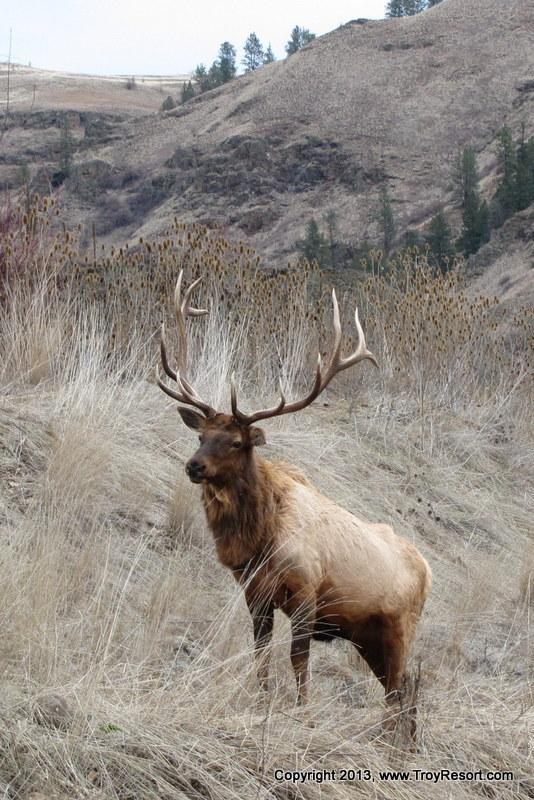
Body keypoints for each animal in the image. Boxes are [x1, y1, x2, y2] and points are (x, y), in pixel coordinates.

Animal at [157, 274, 434, 712]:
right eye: (201, 436)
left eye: (237, 442)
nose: (194, 466)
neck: (258, 541)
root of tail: (428, 570)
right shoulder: (254, 593)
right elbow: (261, 652)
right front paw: (262, 700)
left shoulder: (306, 590)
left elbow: (298, 659)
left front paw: (302, 712)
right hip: (369, 637)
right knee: (401, 694)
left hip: (400, 627)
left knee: (402, 693)